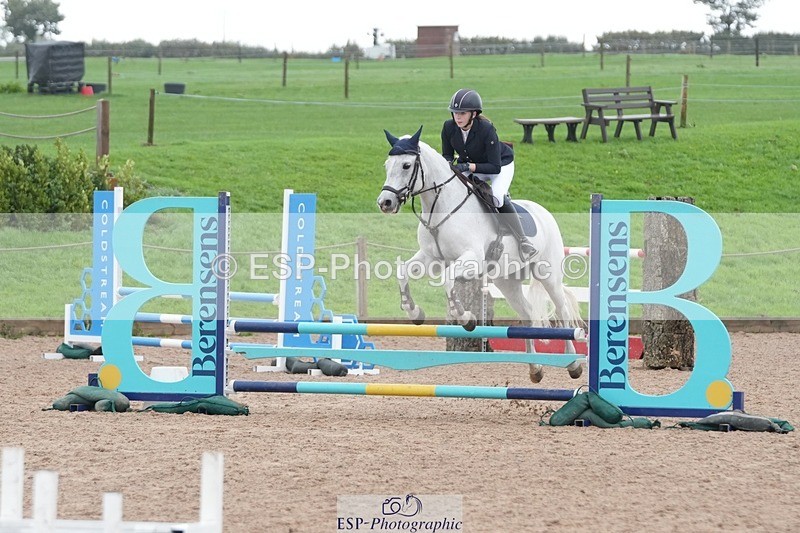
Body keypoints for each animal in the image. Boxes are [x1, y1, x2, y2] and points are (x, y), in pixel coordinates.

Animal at [377, 126, 584, 383]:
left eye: (406, 165)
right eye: (387, 165)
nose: (385, 202)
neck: (441, 206)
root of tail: (543, 212)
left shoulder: (471, 259)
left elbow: (447, 280)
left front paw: (466, 318)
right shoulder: (430, 259)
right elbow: (403, 271)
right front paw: (414, 312)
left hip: (548, 273)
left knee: (562, 310)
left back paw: (573, 364)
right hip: (507, 281)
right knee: (527, 314)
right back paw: (535, 369)